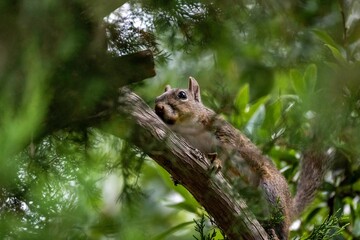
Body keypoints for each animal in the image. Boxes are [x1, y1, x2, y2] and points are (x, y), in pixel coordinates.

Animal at [155, 76, 326, 238]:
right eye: (158, 97)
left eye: (182, 95)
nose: (158, 107)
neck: (189, 129)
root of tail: (290, 208)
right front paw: (175, 176)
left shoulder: (224, 132)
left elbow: (227, 151)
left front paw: (216, 162)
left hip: (272, 192)